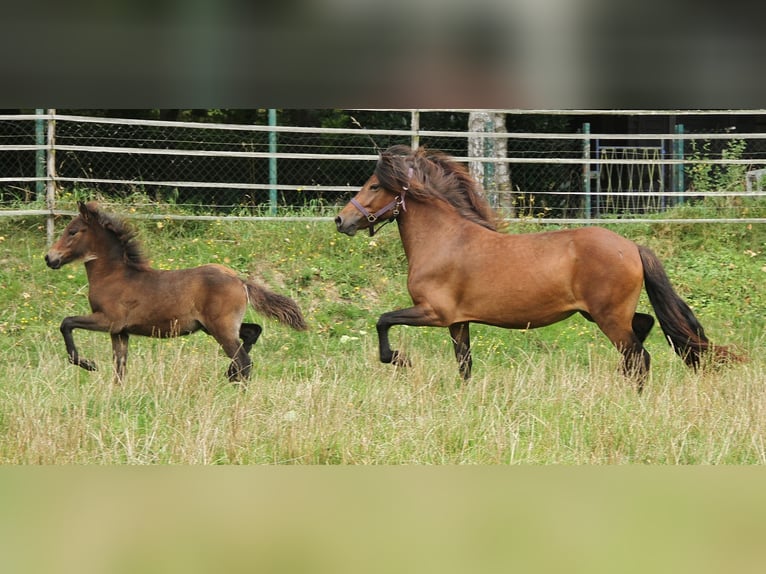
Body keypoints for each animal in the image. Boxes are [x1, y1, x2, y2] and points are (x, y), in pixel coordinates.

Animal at [45, 202, 308, 388]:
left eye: (73, 232)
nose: (50, 258)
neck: (114, 275)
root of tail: (240, 280)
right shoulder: (120, 332)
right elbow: (120, 367)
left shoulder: (109, 320)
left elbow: (66, 323)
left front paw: (88, 364)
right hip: (213, 326)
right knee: (253, 333)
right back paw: (229, 373)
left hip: (220, 328)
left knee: (245, 362)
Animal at [334, 146, 736, 394]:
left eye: (374, 185)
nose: (342, 220)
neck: (445, 239)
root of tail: (632, 248)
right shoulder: (458, 322)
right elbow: (464, 365)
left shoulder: (434, 313)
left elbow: (383, 321)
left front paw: (400, 359)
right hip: (601, 315)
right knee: (644, 331)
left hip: (608, 318)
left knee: (639, 357)